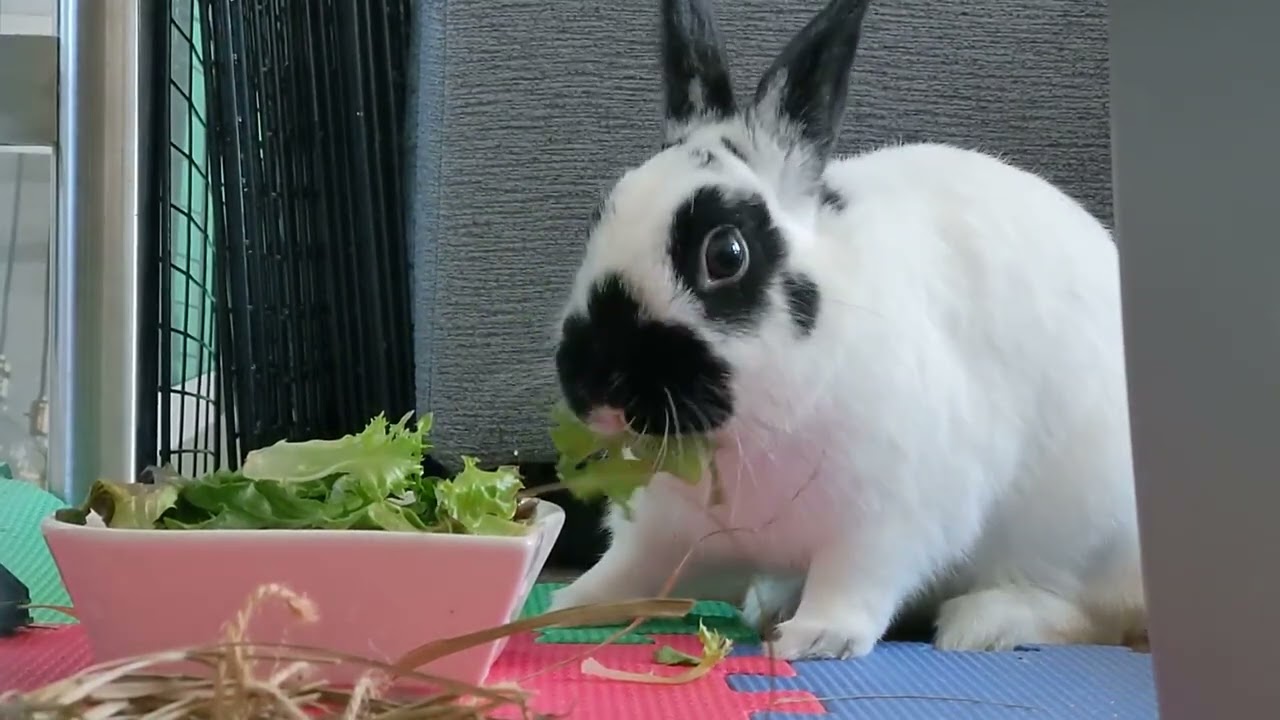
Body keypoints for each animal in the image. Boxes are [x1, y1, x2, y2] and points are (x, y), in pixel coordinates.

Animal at [548, 0, 1146, 660]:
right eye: (598, 218)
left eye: (726, 254)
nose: (593, 380)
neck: (752, 429)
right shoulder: (663, 526)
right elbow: (627, 569)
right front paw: (565, 604)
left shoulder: (887, 521)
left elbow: (853, 582)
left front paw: (815, 638)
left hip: (1093, 537)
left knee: (1095, 615)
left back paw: (984, 622)